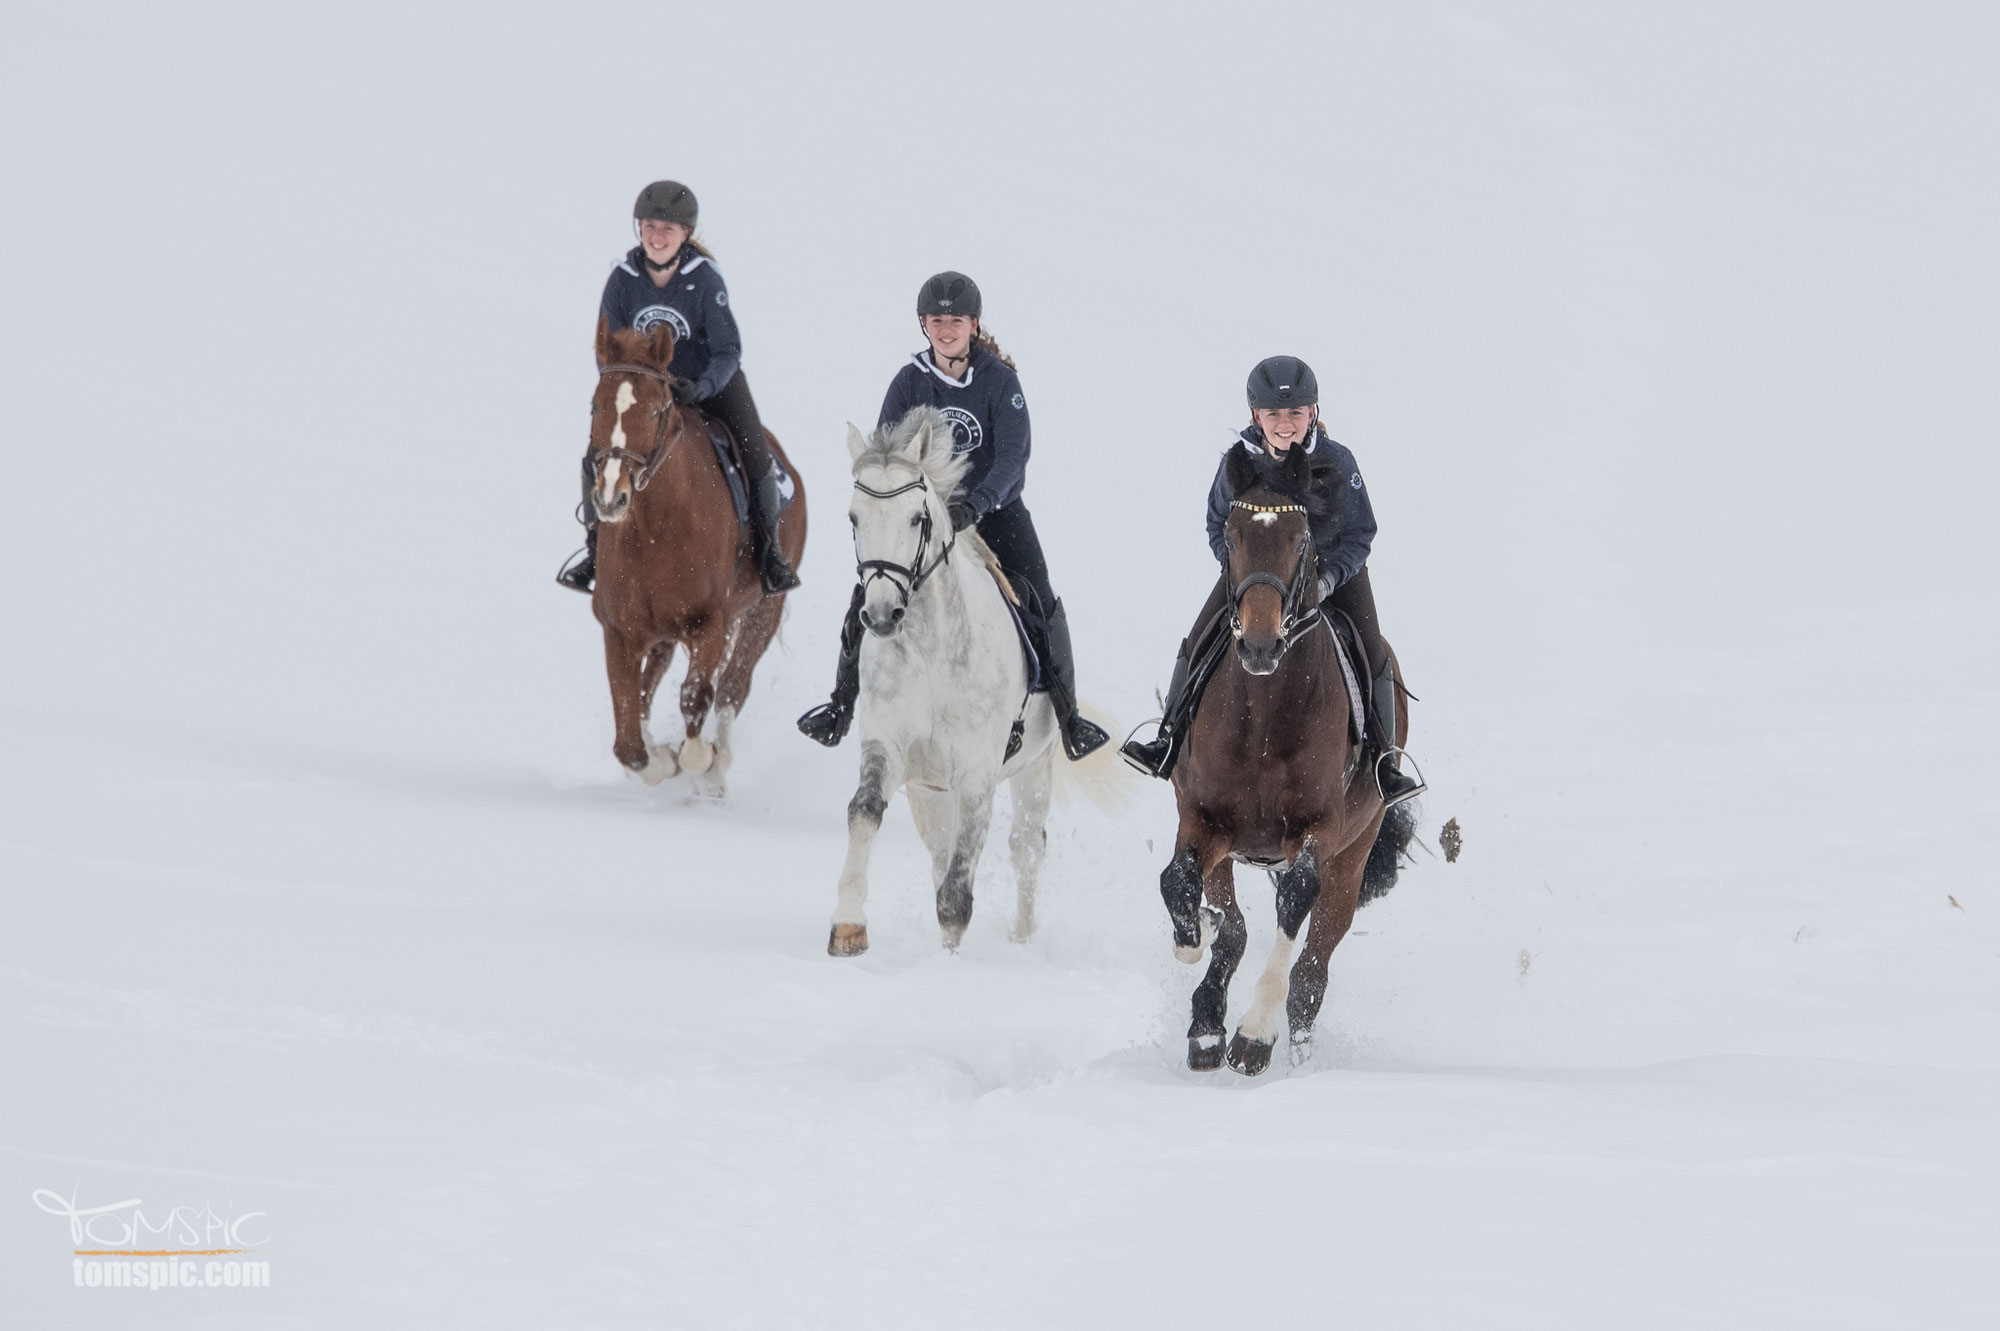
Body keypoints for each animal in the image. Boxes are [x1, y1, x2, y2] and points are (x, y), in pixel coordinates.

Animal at [584, 317, 804, 787]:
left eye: (655, 410)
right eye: (595, 407)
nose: (611, 498)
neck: (655, 531)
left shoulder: (709, 624)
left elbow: (696, 697)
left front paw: (699, 759)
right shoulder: (619, 630)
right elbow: (629, 732)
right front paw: (658, 757)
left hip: (762, 613)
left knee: (732, 689)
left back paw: (717, 771)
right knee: (653, 684)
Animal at [824, 403, 1064, 955]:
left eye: (918, 518)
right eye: (853, 518)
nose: (882, 615)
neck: (931, 651)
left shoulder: (978, 772)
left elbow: (957, 891)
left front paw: (950, 964)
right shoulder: (888, 746)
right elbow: (864, 811)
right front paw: (848, 926)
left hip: (1035, 767)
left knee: (1025, 847)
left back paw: (1022, 941)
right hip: (930, 791)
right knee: (939, 852)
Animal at [1160, 439, 1424, 1071]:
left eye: (1301, 540)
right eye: (1231, 537)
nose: (1260, 645)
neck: (1262, 709)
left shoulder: (1318, 833)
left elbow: (1293, 908)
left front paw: (1253, 1037)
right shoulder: (1204, 819)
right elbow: (1191, 895)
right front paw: (1204, 1013)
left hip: (1352, 858)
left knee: (1314, 963)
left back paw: (1297, 1045)